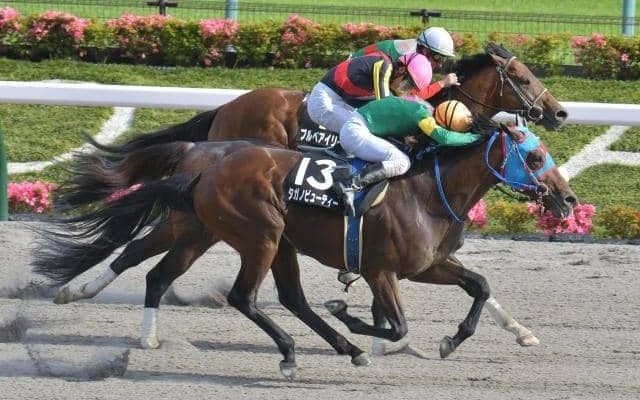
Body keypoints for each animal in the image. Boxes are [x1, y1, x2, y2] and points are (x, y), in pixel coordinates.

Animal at [34, 123, 578, 378]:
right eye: (534, 156)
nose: (568, 199)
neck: (428, 191)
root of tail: (203, 163)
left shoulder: (429, 264)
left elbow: (480, 285)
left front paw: (455, 339)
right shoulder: (382, 269)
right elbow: (396, 323)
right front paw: (359, 320)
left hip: (246, 236)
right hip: (256, 233)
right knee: (238, 295)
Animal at [48, 43, 566, 351]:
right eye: (522, 77)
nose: (559, 113)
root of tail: (219, 118)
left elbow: (475, 286)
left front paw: (521, 331)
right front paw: (379, 333)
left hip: (198, 225)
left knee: (146, 256)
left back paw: (95, 299)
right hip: (198, 222)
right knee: (139, 250)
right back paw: (83, 295)